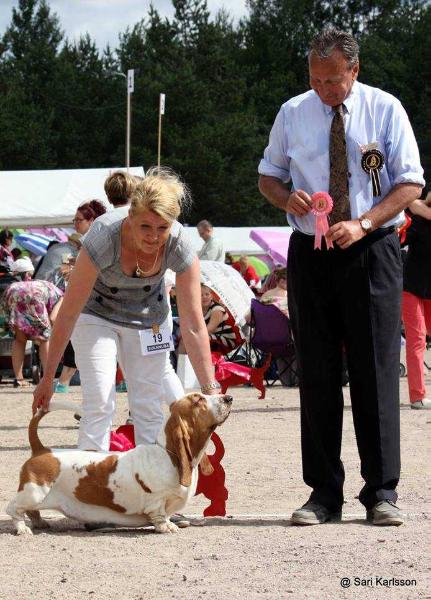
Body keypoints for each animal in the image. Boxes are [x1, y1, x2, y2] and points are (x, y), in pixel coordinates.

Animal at [6, 392, 233, 536]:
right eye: (198, 400)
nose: (229, 397)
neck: (168, 455)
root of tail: (42, 450)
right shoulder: (156, 501)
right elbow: (159, 516)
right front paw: (166, 527)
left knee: (31, 511)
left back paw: (40, 523)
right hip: (34, 493)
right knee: (13, 509)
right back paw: (23, 529)